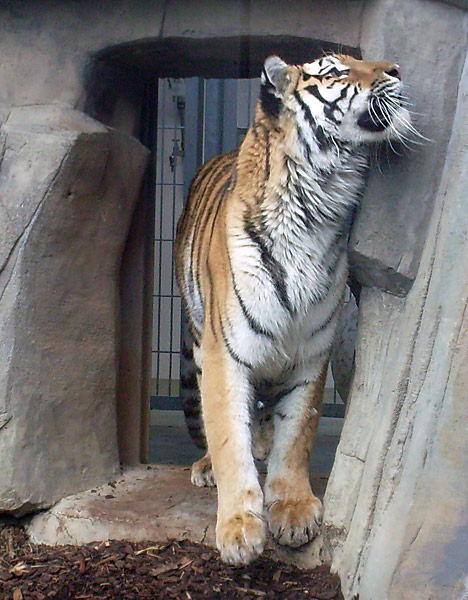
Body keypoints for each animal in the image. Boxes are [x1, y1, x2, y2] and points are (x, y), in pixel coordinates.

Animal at [175, 54, 410, 564]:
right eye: (336, 72)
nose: (397, 69)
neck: (317, 206)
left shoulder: (311, 356)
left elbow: (297, 430)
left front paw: (294, 508)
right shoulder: (226, 353)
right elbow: (229, 435)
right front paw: (239, 528)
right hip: (200, 339)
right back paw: (207, 466)